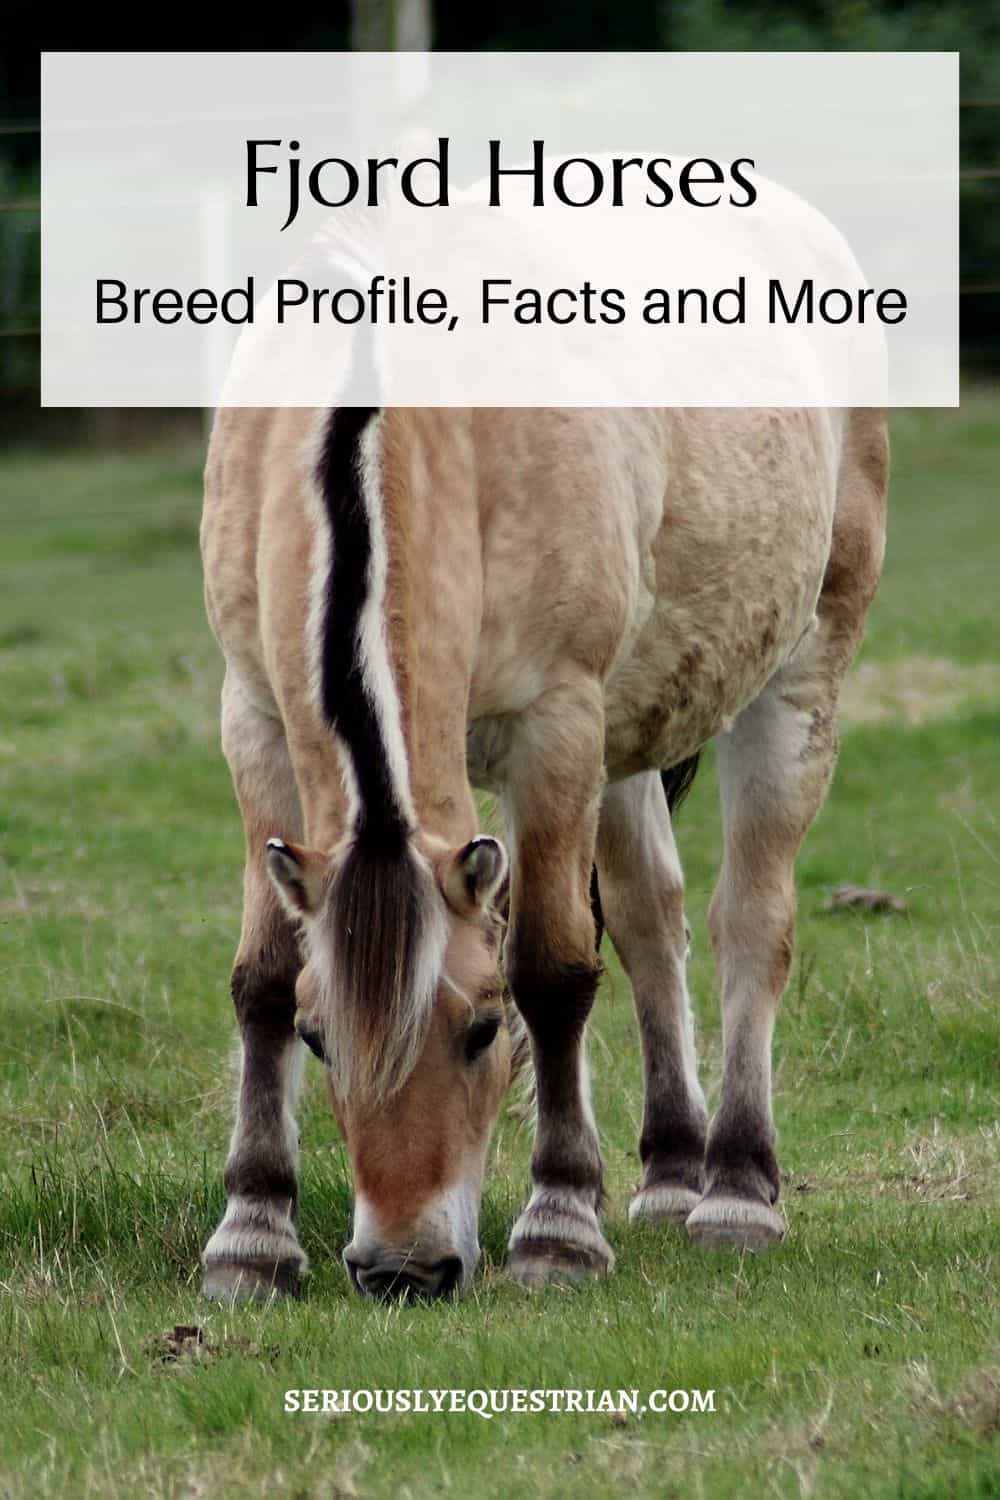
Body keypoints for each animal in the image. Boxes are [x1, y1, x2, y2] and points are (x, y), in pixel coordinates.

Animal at [199, 402, 887, 1299]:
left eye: (484, 1029)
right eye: (317, 1040)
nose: (402, 1270)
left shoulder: (557, 725)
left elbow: (552, 972)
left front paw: (560, 1227)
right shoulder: (254, 720)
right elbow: (265, 980)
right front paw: (252, 1236)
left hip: (799, 668)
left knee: (750, 923)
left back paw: (736, 1191)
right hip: (626, 732)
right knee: (649, 919)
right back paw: (673, 1174)